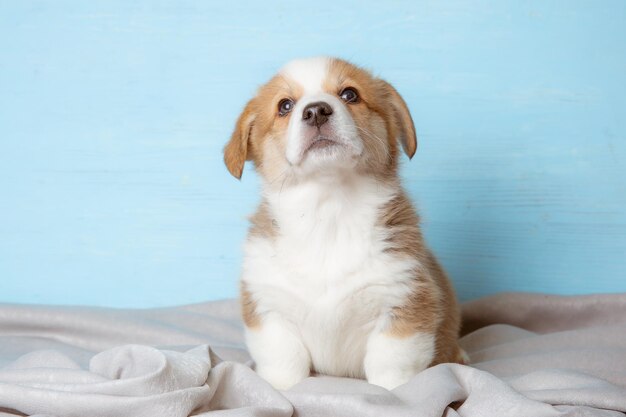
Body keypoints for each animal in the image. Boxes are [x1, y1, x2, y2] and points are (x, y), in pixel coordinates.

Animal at [223, 57, 464, 388]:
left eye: (350, 94)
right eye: (285, 106)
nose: (316, 111)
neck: (329, 212)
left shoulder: (405, 303)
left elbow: (390, 366)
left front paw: (395, 393)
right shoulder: (269, 307)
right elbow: (284, 361)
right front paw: (279, 389)